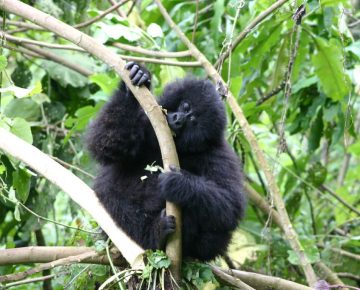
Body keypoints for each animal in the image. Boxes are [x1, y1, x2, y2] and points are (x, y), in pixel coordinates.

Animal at [87, 62, 245, 262]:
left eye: (192, 120)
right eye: (185, 106)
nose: (178, 119)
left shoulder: (219, 154)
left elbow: (231, 205)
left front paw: (181, 184)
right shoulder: (147, 122)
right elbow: (106, 142)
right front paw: (135, 81)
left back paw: (157, 235)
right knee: (110, 193)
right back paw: (154, 234)